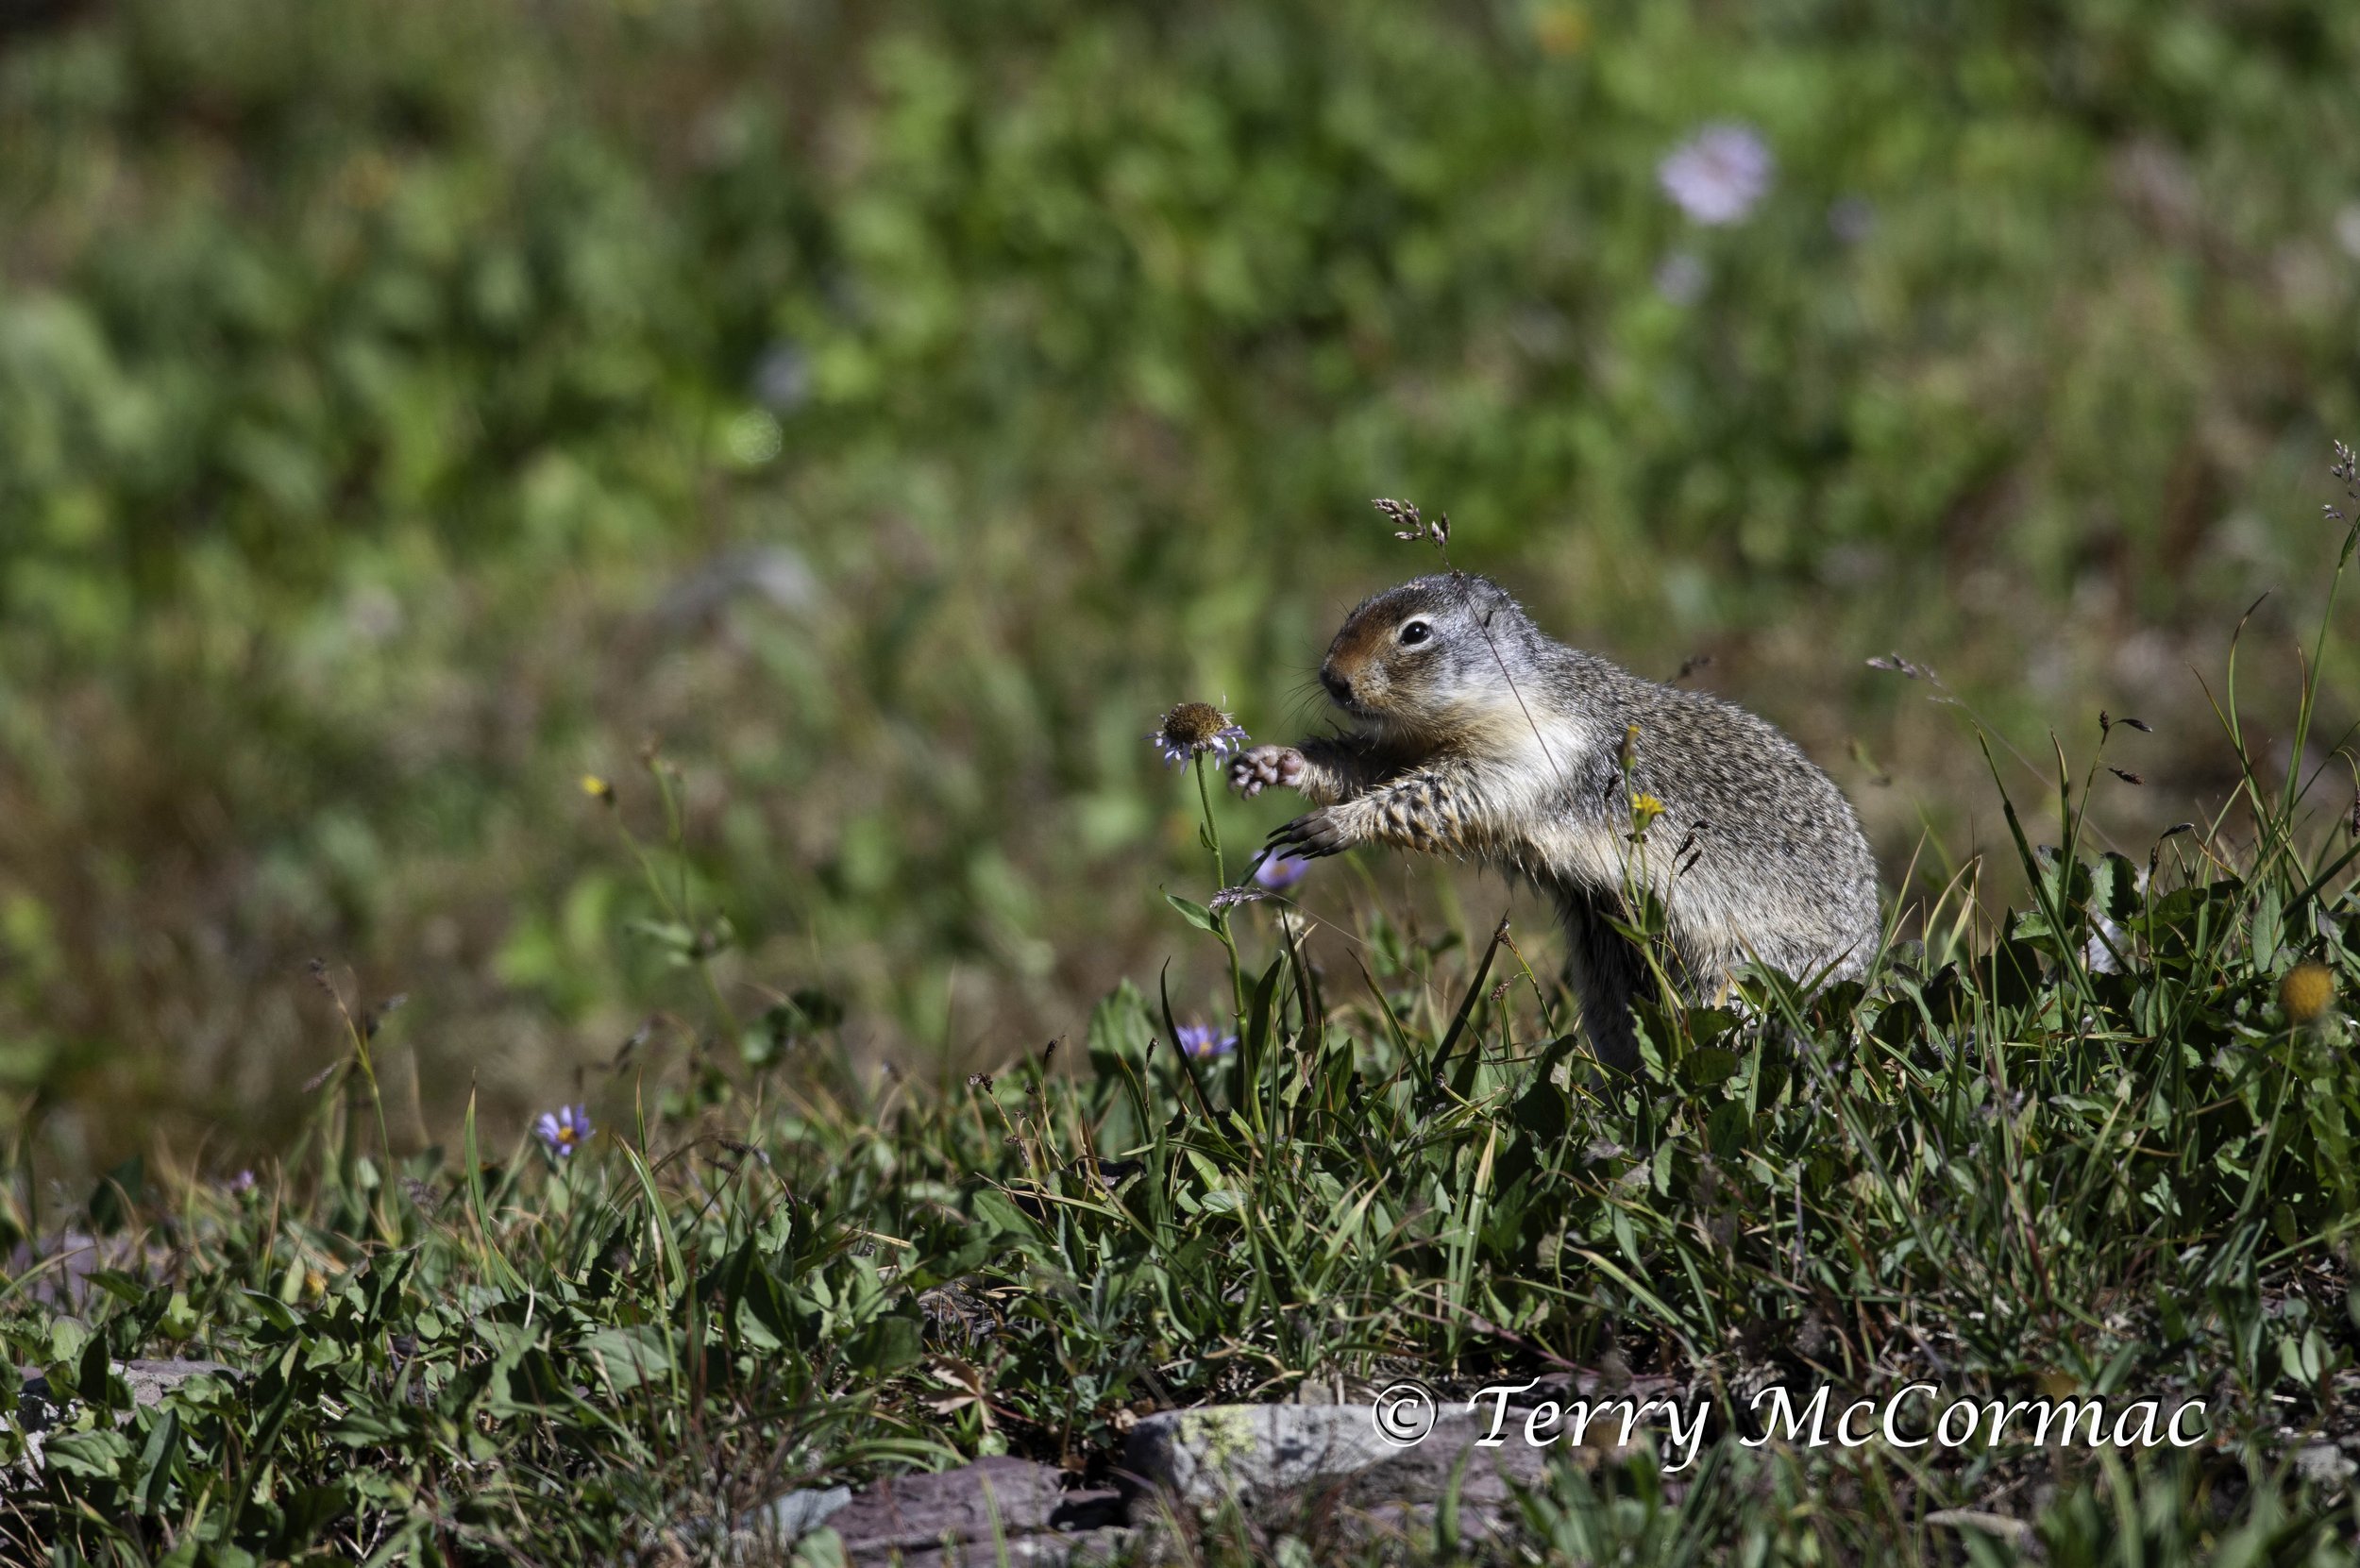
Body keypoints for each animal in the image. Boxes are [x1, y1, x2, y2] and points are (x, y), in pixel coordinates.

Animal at [1230, 572, 1880, 1070]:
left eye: (1415, 632)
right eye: (1356, 611)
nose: (1331, 677)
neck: (1494, 701)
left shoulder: (1528, 758)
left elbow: (1440, 795)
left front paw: (1333, 825)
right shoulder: (1409, 746)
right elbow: (1368, 766)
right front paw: (1274, 763)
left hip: (1748, 973)